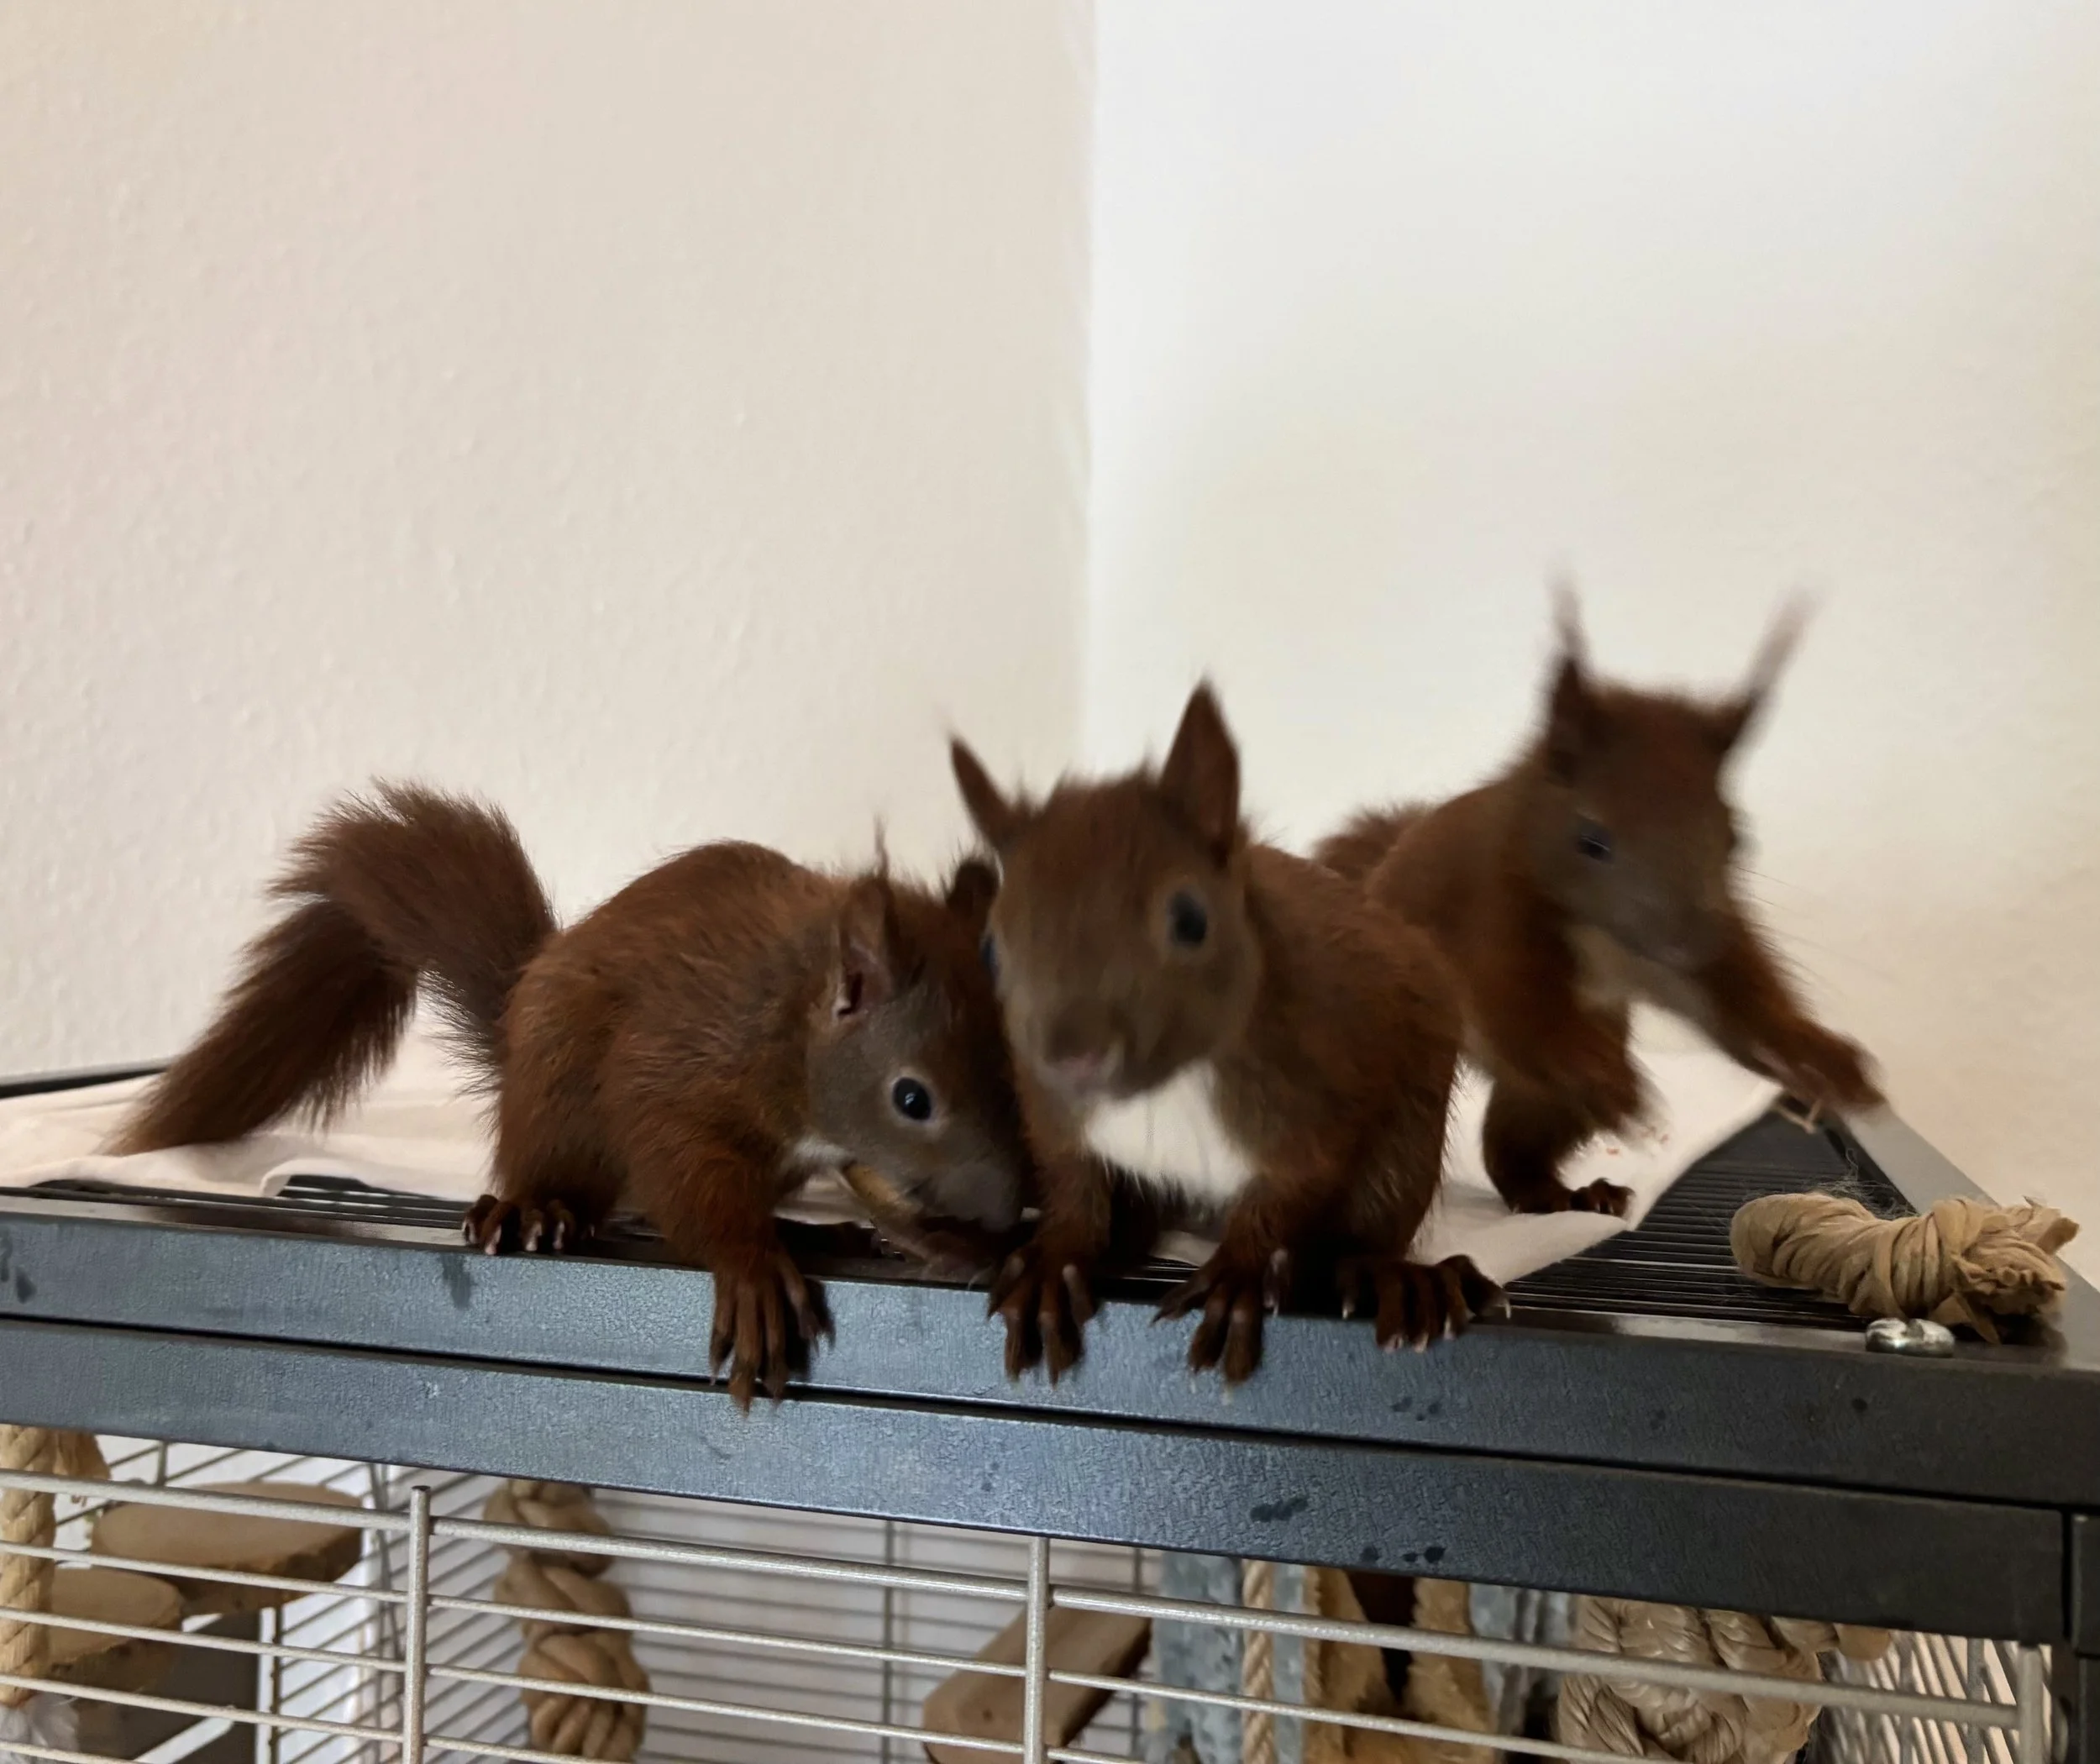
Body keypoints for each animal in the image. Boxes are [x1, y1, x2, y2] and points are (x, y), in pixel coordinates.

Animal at [113, 782, 1030, 1407]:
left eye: (1018, 1072)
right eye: (911, 1098)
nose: (1002, 1204)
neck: (792, 1016)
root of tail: (517, 1019)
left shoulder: (848, 1147)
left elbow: (881, 1186)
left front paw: (958, 1245)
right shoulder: (680, 1068)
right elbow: (684, 1178)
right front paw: (751, 1269)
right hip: (559, 1093)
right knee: (583, 1181)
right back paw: (538, 1209)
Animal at [951, 685, 1495, 1386]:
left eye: (1191, 919)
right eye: (990, 949)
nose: (1075, 1059)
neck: (1163, 1088)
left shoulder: (1310, 1092)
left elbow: (1289, 1189)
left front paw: (1237, 1276)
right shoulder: (1053, 1112)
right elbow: (1074, 1189)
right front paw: (1051, 1264)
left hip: (1412, 1131)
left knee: (1371, 1225)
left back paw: (1391, 1278)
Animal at [1316, 595, 1882, 1218]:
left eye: (1738, 836)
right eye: (1591, 839)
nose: (1689, 945)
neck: (1606, 941)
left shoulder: (1703, 958)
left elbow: (1743, 1015)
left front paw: (1820, 1059)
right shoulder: (1491, 914)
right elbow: (1520, 1011)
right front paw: (1610, 1082)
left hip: (1542, 1103)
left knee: (1516, 1148)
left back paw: (1566, 1195)